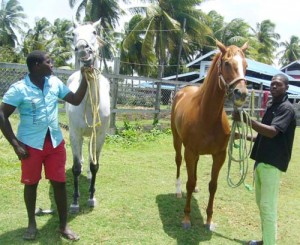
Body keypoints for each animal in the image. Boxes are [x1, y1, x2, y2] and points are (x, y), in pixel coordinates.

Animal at [171, 40, 248, 230]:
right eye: (227, 63)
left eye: (246, 66)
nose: (241, 93)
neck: (206, 115)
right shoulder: (190, 151)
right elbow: (189, 182)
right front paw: (186, 218)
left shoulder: (219, 155)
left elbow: (213, 185)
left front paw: (209, 219)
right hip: (177, 140)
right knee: (178, 162)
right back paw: (178, 191)